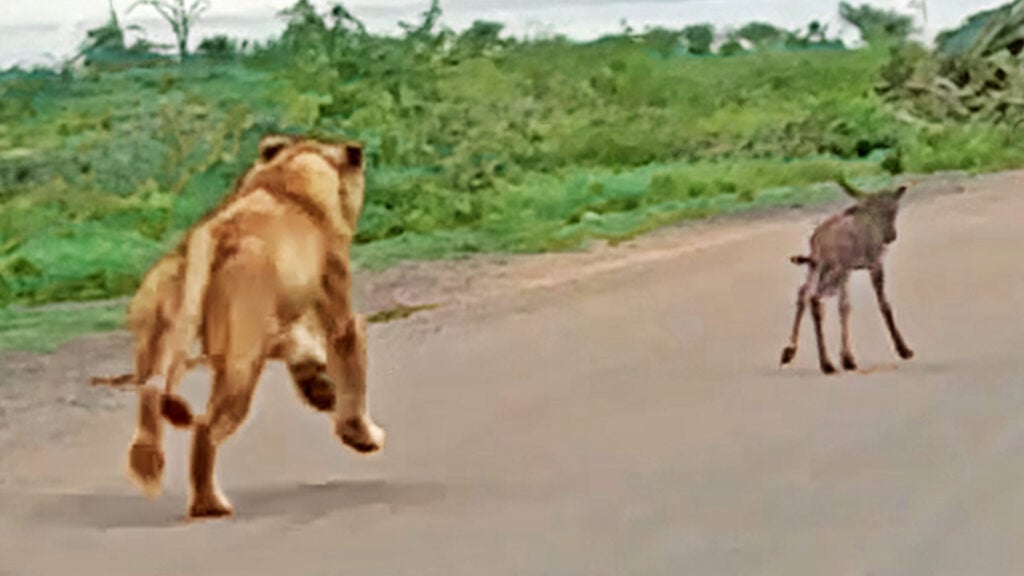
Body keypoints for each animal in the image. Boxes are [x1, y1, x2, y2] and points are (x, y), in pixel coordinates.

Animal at [108, 133, 385, 519]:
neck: (285, 183)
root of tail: (209, 236)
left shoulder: (280, 315)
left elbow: (300, 346)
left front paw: (318, 384)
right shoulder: (336, 307)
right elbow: (351, 374)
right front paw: (363, 436)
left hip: (159, 340)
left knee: (149, 415)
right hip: (241, 361)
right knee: (205, 429)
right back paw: (210, 504)